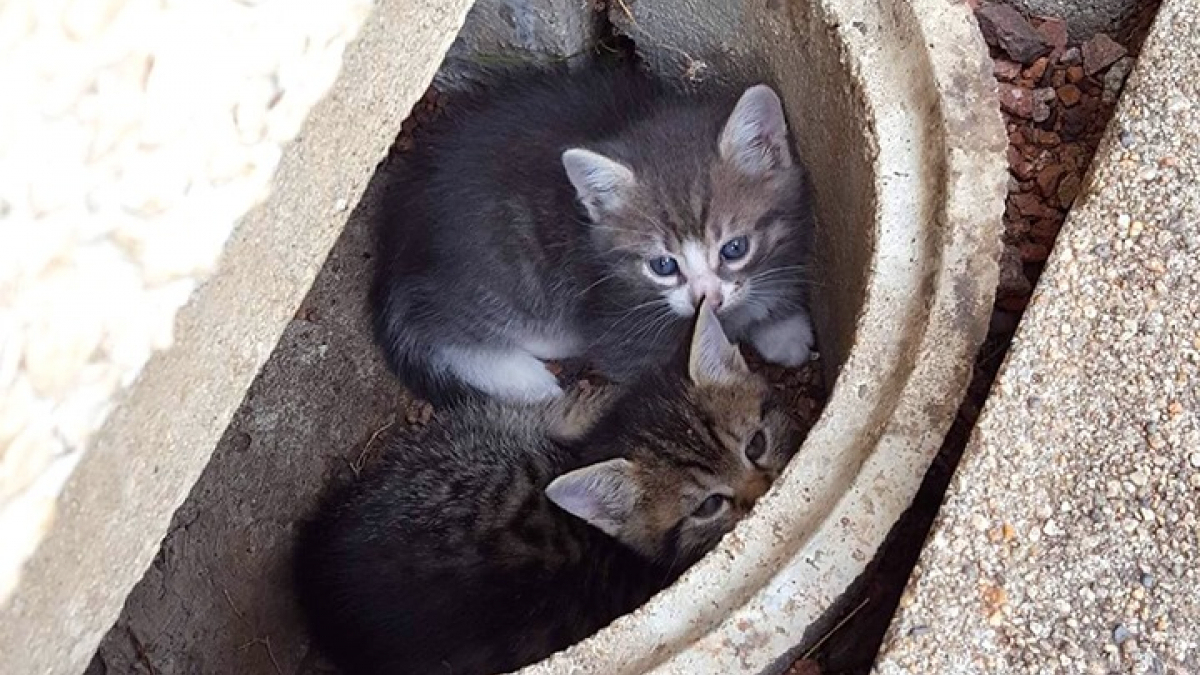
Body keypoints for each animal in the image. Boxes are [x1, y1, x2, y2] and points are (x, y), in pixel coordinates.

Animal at [369, 66, 811, 403]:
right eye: (663, 265)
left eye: (734, 248)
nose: (708, 298)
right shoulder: (621, 324)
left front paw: (782, 327)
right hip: (497, 275)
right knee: (437, 325)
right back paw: (525, 376)